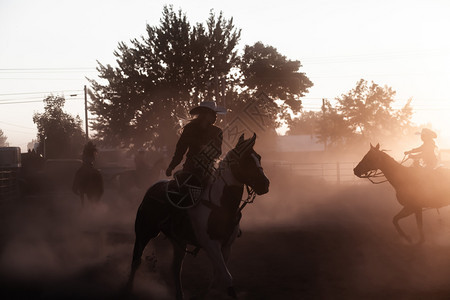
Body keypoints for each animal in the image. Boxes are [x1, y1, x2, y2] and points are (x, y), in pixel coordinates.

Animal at [125, 134, 268, 300]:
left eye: (259, 157)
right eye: (247, 160)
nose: (265, 184)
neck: (219, 204)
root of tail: (152, 188)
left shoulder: (226, 247)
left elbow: (218, 276)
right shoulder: (210, 244)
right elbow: (227, 277)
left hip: (178, 241)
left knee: (176, 268)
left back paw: (179, 295)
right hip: (144, 232)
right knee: (136, 260)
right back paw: (129, 289)